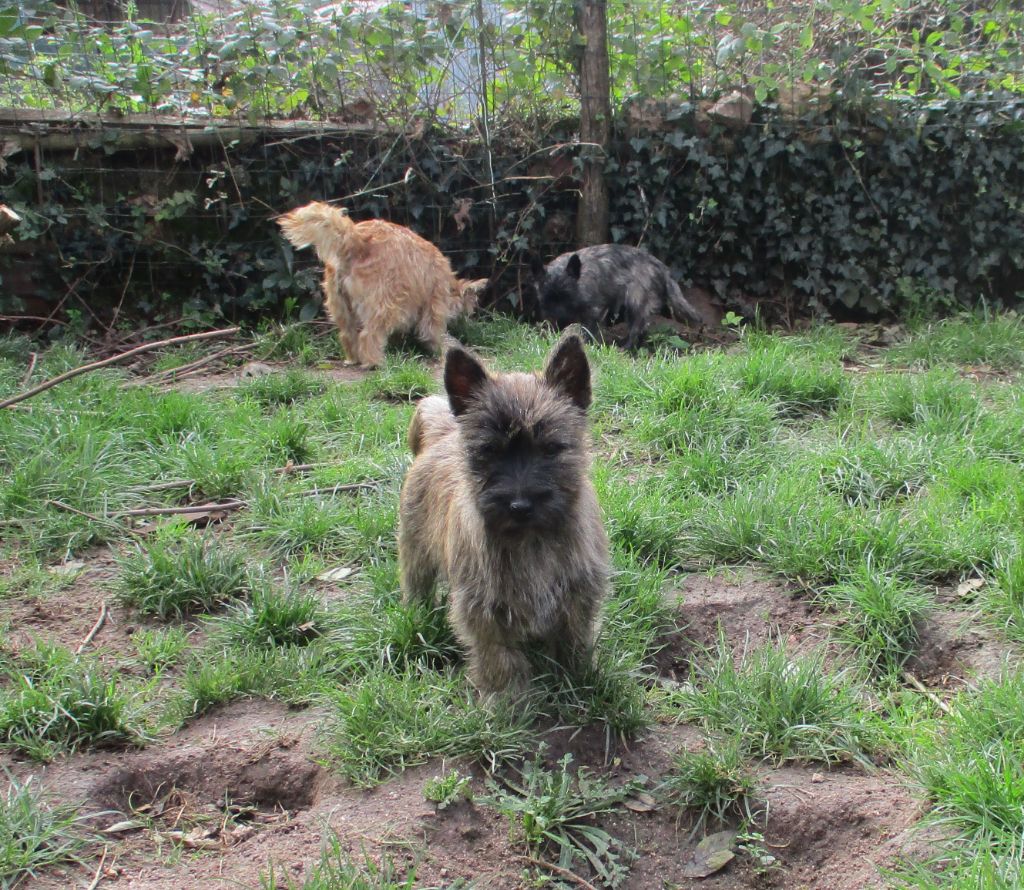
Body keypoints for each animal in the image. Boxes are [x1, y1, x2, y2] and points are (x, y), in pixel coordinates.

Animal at [276, 201, 483, 368]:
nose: (470, 322)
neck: (448, 283)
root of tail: (356, 239)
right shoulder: (434, 306)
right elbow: (431, 331)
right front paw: (438, 351)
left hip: (341, 307)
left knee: (348, 335)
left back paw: (354, 359)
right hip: (384, 305)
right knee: (369, 335)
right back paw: (375, 363)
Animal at [397, 333, 606, 696]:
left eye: (551, 448)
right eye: (489, 450)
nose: (520, 506)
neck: (531, 542)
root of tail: (442, 434)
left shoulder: (577, 598)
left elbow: (574, 643)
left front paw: (577, 683)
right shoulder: (485, 612)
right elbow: (500, 661)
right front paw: (508, 701)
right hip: (415, 551)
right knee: (416, 585)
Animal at [528, 247, 704, 352]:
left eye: (568, 297)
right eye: (546, 301)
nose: (560, 322)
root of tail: (662, 269)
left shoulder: (593, 312)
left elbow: (588, 330)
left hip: (634, 302)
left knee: (636, 328)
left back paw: (626, 348)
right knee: (642, 328)